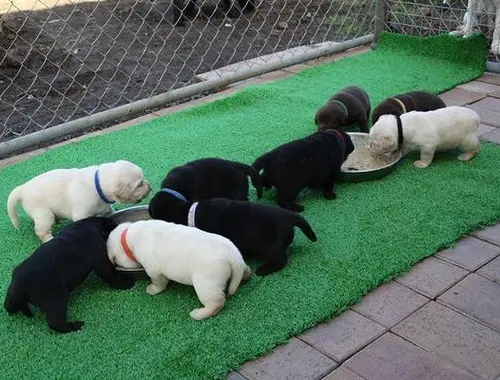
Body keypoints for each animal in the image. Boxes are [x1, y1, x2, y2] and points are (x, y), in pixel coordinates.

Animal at [4, 217, 133, 332]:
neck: (90, 225)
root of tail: (20, 286)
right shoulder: (101, 261)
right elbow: (111, 276)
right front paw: (125, 284)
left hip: (13, 293)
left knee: (9, 305)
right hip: (57, 299)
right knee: (55, 322)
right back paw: (74, 326)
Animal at [6, 160, 150, 242]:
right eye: (139, 185)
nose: (150, 187)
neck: (98, 184)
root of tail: (22, 189)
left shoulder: (105, 208)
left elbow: (109, 213)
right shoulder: (81, 214)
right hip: (44, 215)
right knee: (41, 231)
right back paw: (49, 239)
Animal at [107, 220, 252, 320]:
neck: (128, 235)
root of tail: (233, 256)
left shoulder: (153, 270)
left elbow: (158, 282)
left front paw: (152, 289)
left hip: (205, 284)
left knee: (217, 302)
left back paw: (199, 314)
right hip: (238, 265)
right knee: (246, 271)